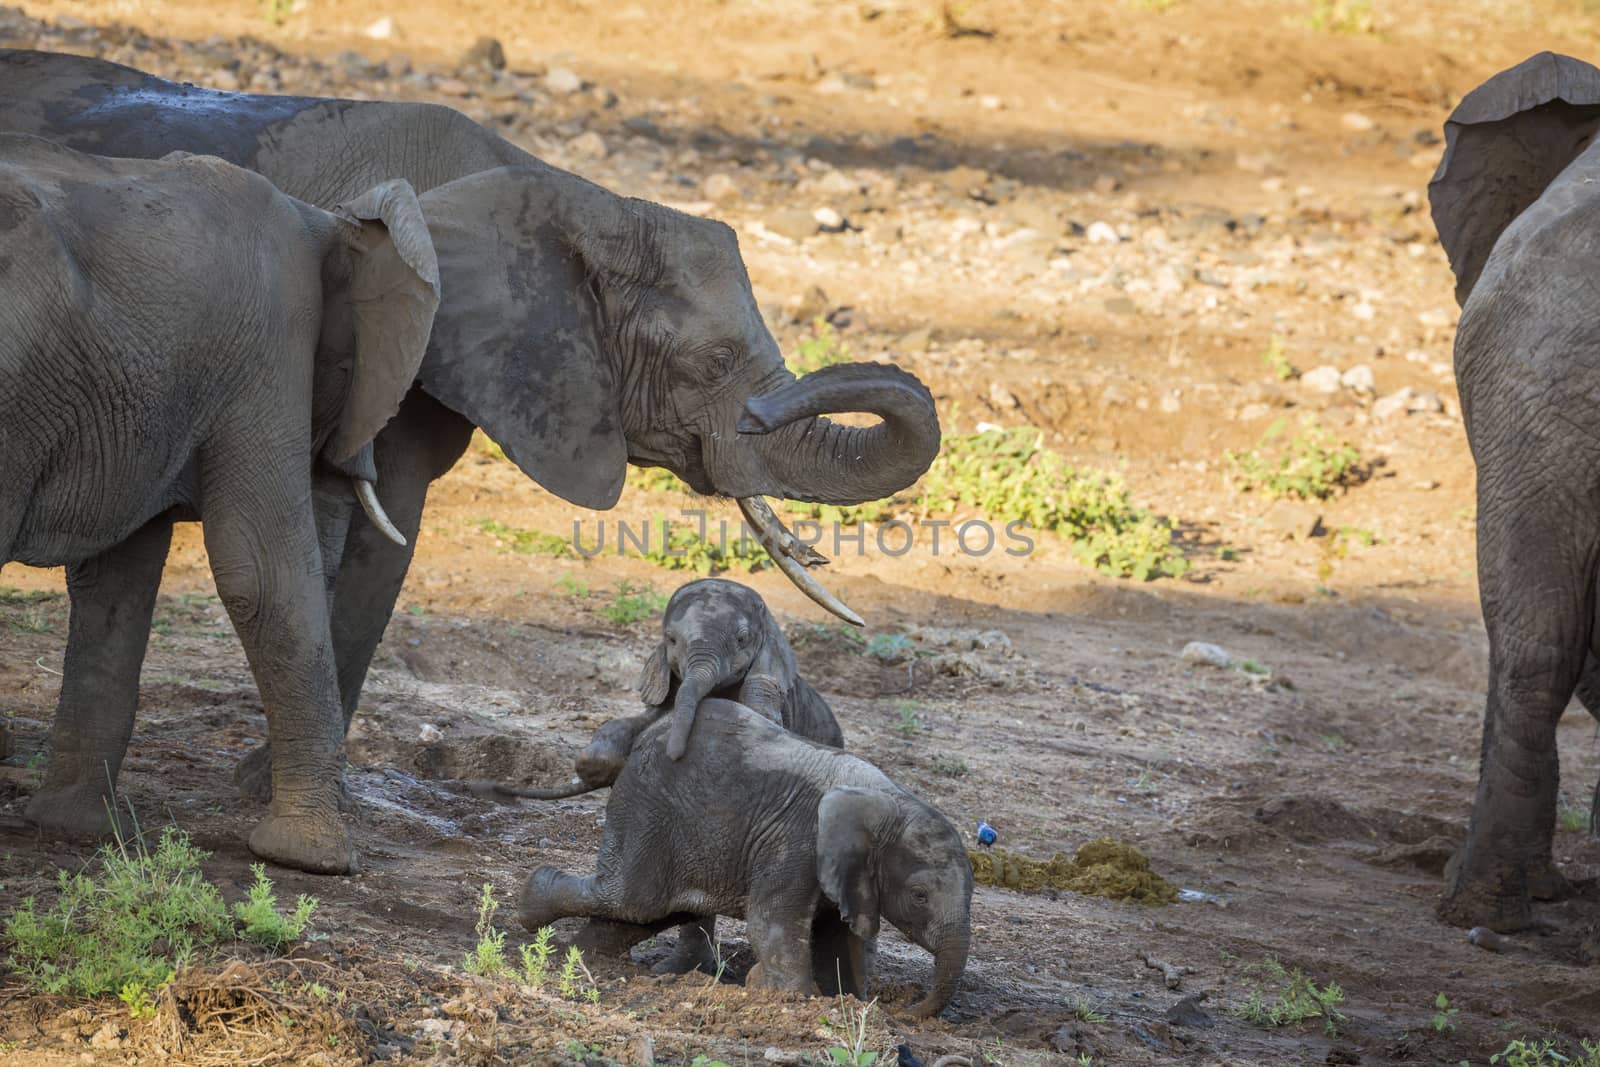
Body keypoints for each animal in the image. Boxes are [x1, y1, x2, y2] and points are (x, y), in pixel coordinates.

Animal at [0, 45, 940, 870]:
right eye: (710, 366)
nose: (758, 413)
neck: (573, 195)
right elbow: (322, 549)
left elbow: (379, 545)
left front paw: (264, 786)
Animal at [512, 700, 972, 1017]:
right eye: (919, 896)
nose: (905, 1011)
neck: (889, 801)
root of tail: (651, 732)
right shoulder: (796, 842)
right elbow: (771, 921)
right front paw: (794, 998)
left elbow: (842, 940)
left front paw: (845, 1000)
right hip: (645, 808)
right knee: (634, 900)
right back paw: (533, 905)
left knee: (653, 912)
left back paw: (582, 955)